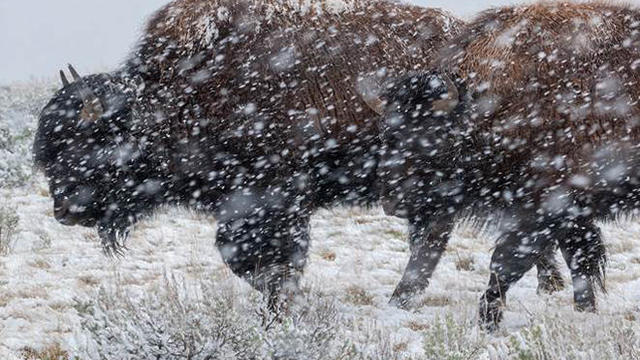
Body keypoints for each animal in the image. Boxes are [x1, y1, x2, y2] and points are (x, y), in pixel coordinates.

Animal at [370, 0, 640, 330]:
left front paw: (488, 321)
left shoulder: (542, 207)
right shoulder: (570, 210)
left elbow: (506, 262)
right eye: (386, 132)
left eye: (430, 138)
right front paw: (584, 311)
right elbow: (578, 257)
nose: (392, 202)